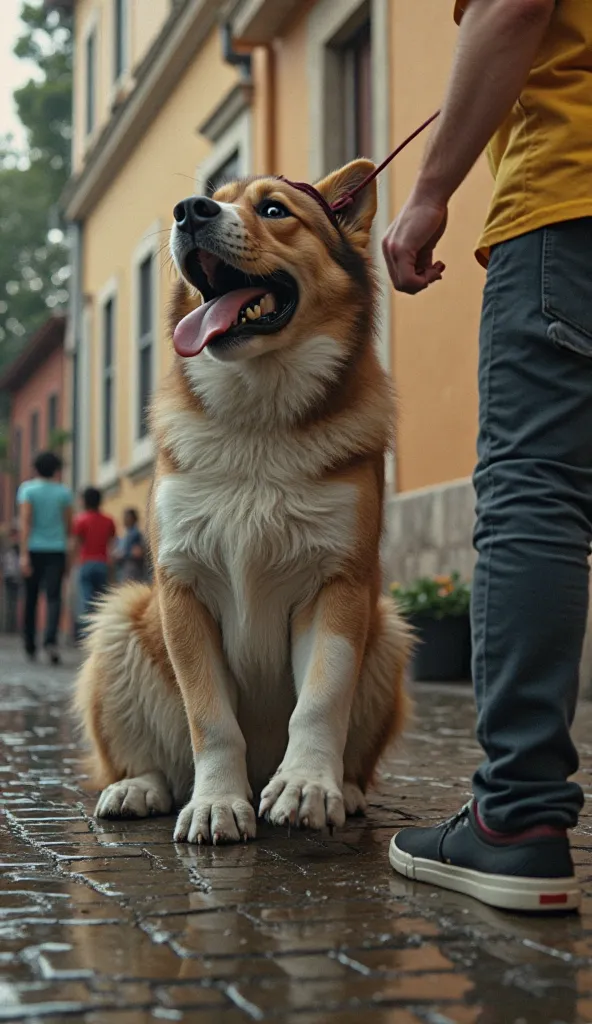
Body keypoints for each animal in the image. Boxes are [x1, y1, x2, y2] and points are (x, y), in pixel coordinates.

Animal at [73, 159, 409, 843]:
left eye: (275, 209)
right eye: (214, 197)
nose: (189, 211)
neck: (258, 424)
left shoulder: (338, 584)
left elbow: (320, 701)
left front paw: (307, 786)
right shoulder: (182, 587)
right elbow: (211, 720)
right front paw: (217, 803)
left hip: (387, 630)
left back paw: (345, 789)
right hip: (119, 620)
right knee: (157, 763)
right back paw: (139, 787)